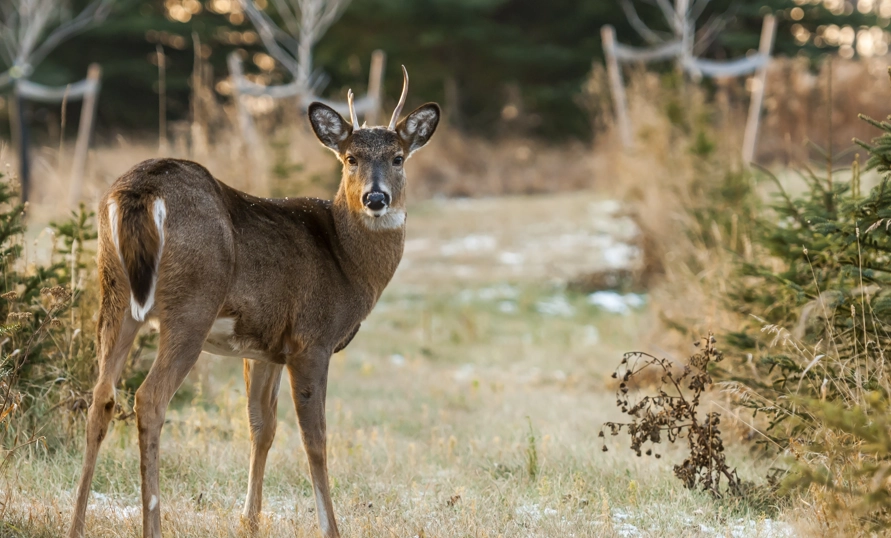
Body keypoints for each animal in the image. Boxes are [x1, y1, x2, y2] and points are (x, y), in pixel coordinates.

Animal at [67, 67, 440, 538]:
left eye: (398, 157)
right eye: (350, 158)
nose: (376, 199)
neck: (345, 259)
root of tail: (140, 191)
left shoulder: (264, 347)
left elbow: (261, 426)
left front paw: (250, 519)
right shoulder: (311, 338)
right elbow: (315, 438)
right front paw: (330, 527)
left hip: (114, 293)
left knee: (101, 397)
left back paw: (76, 524)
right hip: (193, 301)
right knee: (149, 398)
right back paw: (152, 525)